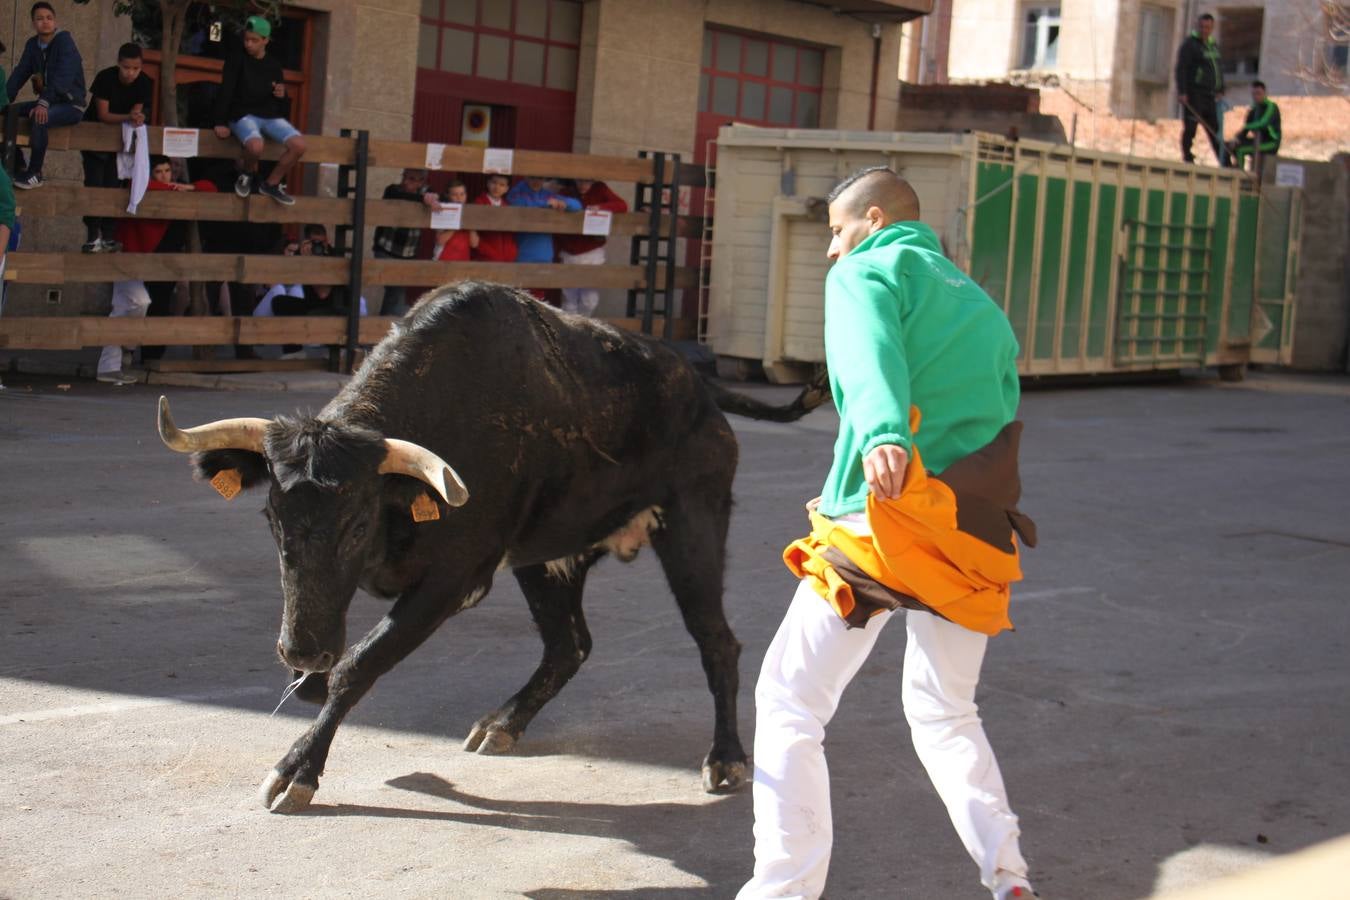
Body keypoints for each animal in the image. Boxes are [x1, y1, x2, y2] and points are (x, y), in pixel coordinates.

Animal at [156, 283, 820, 814]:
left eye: (356, 524)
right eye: (271, 517)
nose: (300, 649)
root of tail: (699, 386)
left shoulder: (451, 581)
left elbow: (358, 667)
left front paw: (297, 771)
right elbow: (341, 664)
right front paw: (306, 692)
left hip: (693, 528)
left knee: (716, 641)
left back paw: (726, 759)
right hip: (549, 560)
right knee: (569, 645)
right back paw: (503, 723)